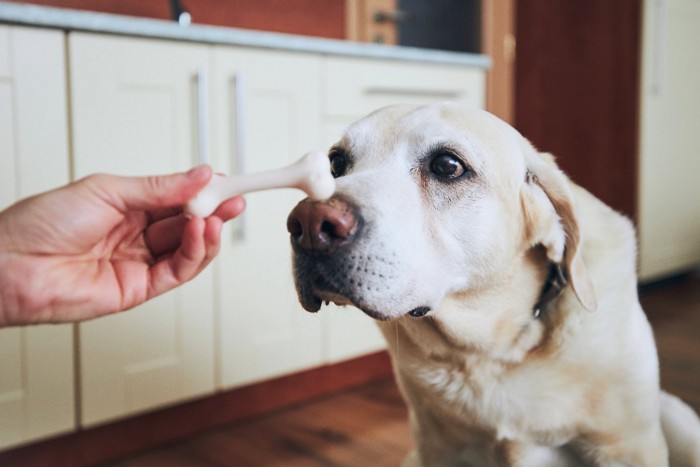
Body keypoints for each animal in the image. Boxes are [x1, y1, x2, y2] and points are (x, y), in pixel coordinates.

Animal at [286, 103, 700, 467]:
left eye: (447, 166)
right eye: (336, 163)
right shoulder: (437, 448)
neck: (491, 352)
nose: (309, 225)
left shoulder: (627, 447)